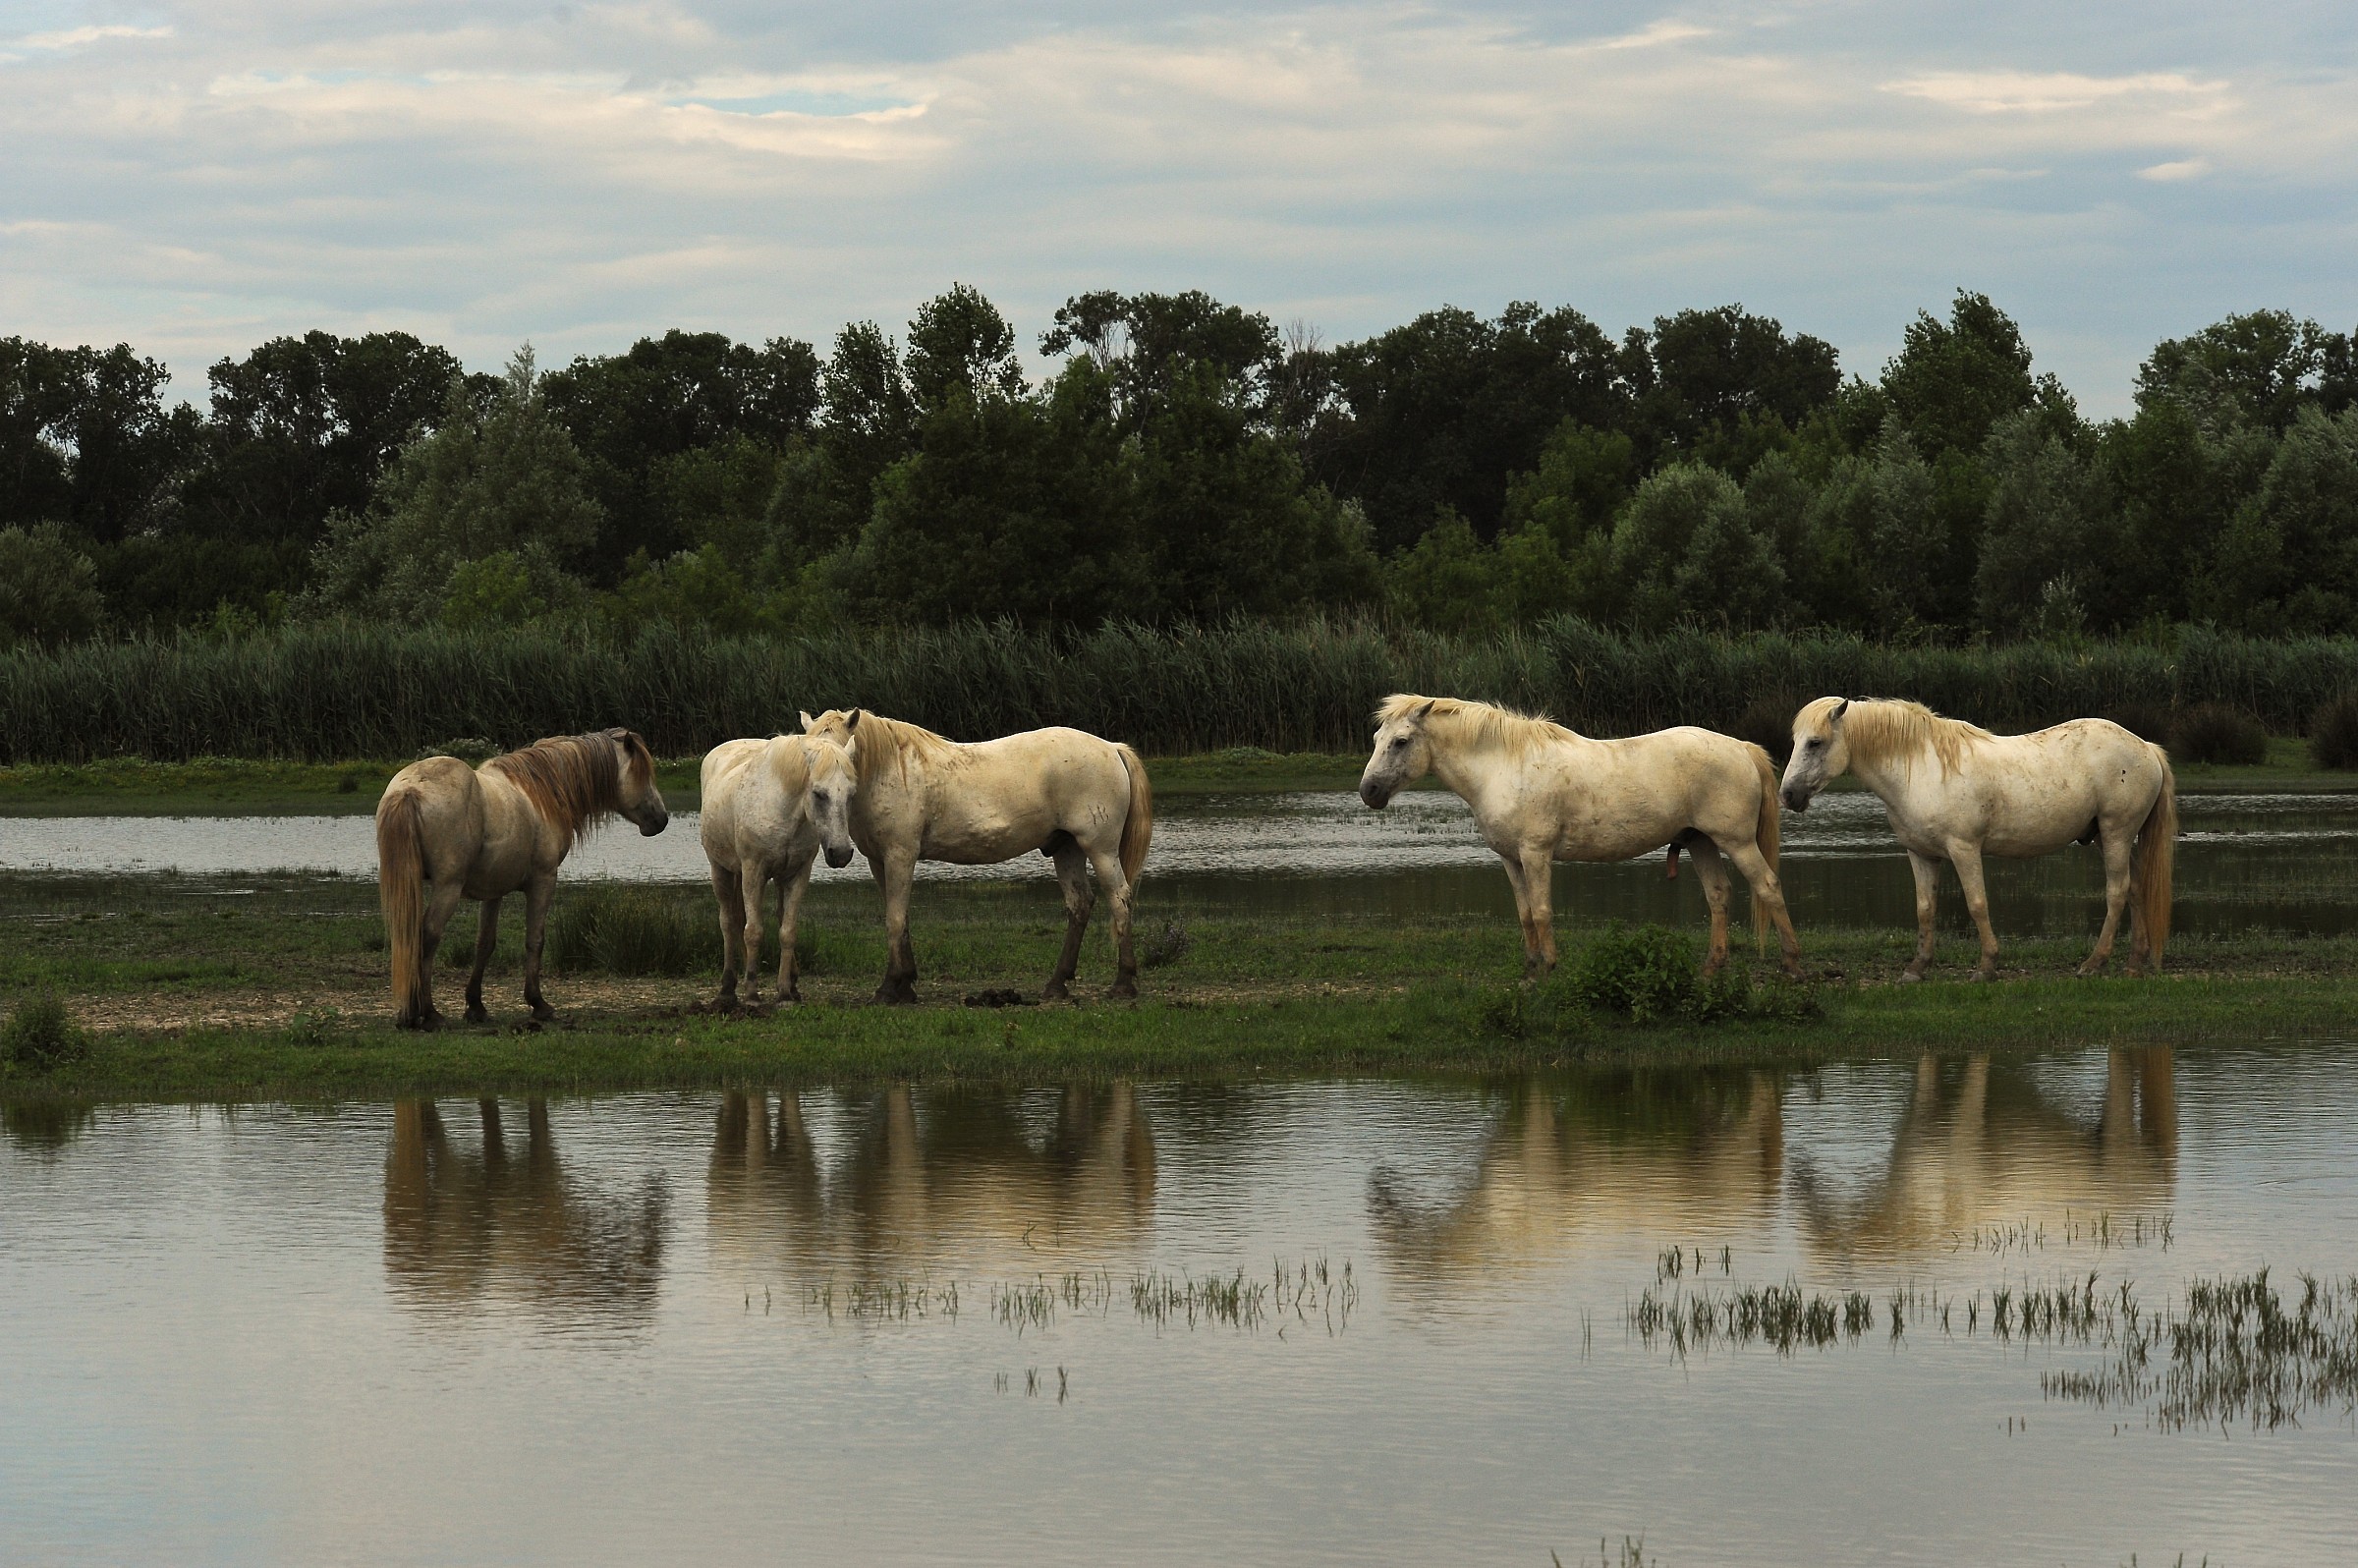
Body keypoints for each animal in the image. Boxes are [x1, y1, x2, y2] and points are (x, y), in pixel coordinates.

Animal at [375, 728, 668, 1029]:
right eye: (643, 773)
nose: (662, 820)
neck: (541, 792)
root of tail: (410, 790)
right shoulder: (543, 881)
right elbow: (535, 940)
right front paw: (538, 1004)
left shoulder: (493, 891)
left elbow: (484, 944)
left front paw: (476, 1006)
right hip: (448, 888)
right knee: (428, 936)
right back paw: (429, 1012)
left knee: (410, 936)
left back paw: (410, 1012)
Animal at [697, 731, 858, 1008]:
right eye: (819, 794)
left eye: (851, 795)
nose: (840, 853)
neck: (784, 811)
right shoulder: (754, 872)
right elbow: (753, 931)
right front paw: (752, 995)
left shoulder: (798, 875)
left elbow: (788, 931)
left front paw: (784, 994)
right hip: (720, 869)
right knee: (728, 923)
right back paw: (727, 990)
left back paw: (790, 986)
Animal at [798, 708, 1153, 1003]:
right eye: (810, 760)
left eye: (842, 760)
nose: (838, 854)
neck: (889, 770)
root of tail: (1111, 748)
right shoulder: (878, 861)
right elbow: (900, 917)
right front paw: (906, 985)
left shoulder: (900, 855)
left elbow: (894, 919)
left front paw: (890, 988)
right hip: (1067, 849)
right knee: (1080, 904)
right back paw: (1056, 985)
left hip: (1100, 849)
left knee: (1119, 898)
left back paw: (1123, 983)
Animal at [1358, 695, 1801, 978]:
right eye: (1377, 740)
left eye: (1401, 742)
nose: (1369, 791)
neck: (1503, 767)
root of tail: (1742, 748)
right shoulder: (1511, 859)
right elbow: (1524, 913)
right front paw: (1531, 967)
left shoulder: (1535, 854)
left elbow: (1541, 911)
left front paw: (1549, 967)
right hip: (1700, 841)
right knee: (1719, 896)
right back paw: (1712, 966)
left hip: (1736, 842)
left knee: (1768, 886)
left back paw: (1793, 965)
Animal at [1778, 698, 2175, 980]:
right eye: (1796, 741)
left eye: (1815, 742)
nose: (1788, 795)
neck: (1921, 769)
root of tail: (2146, 747)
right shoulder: (1921, 854)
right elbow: (1925, 909)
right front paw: (1917, 968)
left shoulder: (1964, 849)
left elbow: (1977, 904)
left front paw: (1986, 967)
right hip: (2111, 839)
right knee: (2135, 889)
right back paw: (2134, 962)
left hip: (2116, 834)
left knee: (2117, 892)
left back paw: (2094, 963)